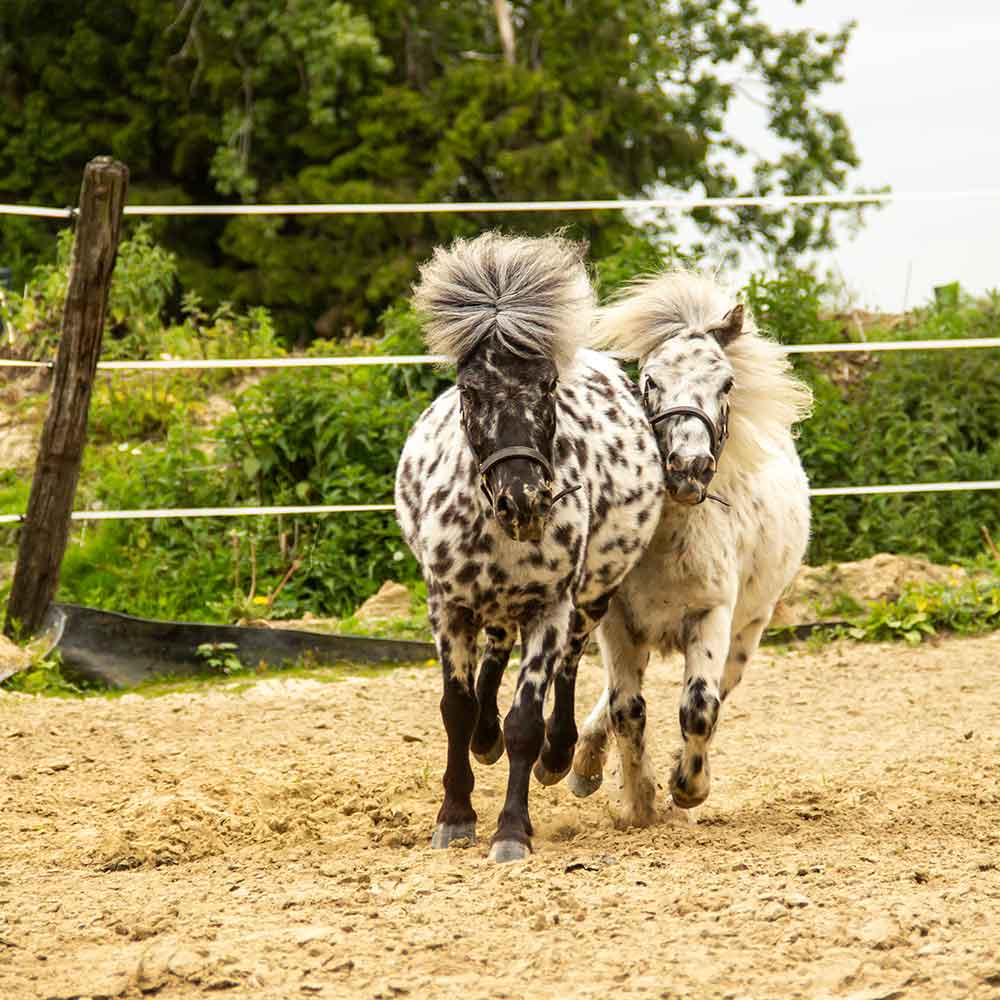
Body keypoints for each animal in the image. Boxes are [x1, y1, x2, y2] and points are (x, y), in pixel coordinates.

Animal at [395, 232, 664, 861]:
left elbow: (526, 720)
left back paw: (557, 755)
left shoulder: (550, 607)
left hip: (591, 595)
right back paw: (485, 739)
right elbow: (456, 709)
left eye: (546, 386)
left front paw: (512, 830)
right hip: (493, 609)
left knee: (567, 666)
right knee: (493, 658)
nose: (523, 500)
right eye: (470, 390)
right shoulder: (448, 607)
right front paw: (455, 816)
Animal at [568, 269, 813, 826]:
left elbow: (698, 709)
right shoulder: (615, 621)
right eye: (649, 380)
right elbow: (626, 708)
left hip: (748, 631)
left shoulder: (711, 616)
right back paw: (584, 768)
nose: (689, 467)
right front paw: (639, 803)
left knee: (717, 692)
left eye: (726, 383)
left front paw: (687, 790)